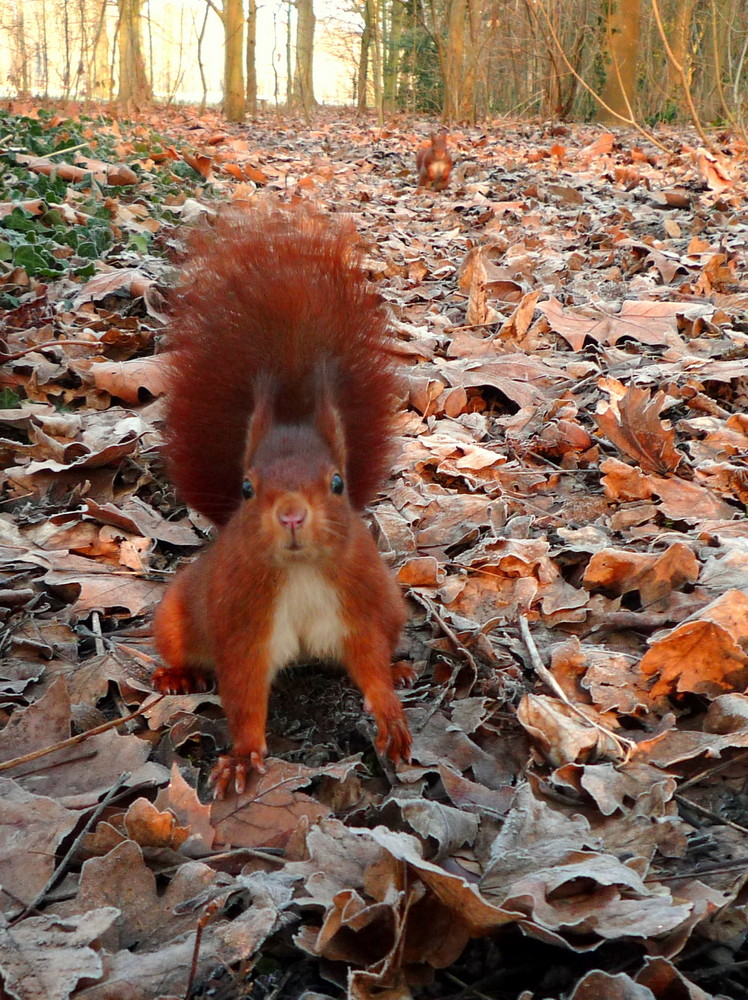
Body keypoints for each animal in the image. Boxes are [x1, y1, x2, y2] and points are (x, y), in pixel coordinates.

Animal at [150, 207, 412, 800]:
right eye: (246, 489)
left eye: (337, 483)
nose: (291, 515)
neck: (300, 572)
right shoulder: (243, 622)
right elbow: (244, 692)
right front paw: (243, 757)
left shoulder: (359, 609)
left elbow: (369, 661)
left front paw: (390, 711)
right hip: (179, 614)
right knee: (180, 645)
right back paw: (178, 674)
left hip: (390, 602)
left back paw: (403, 668)